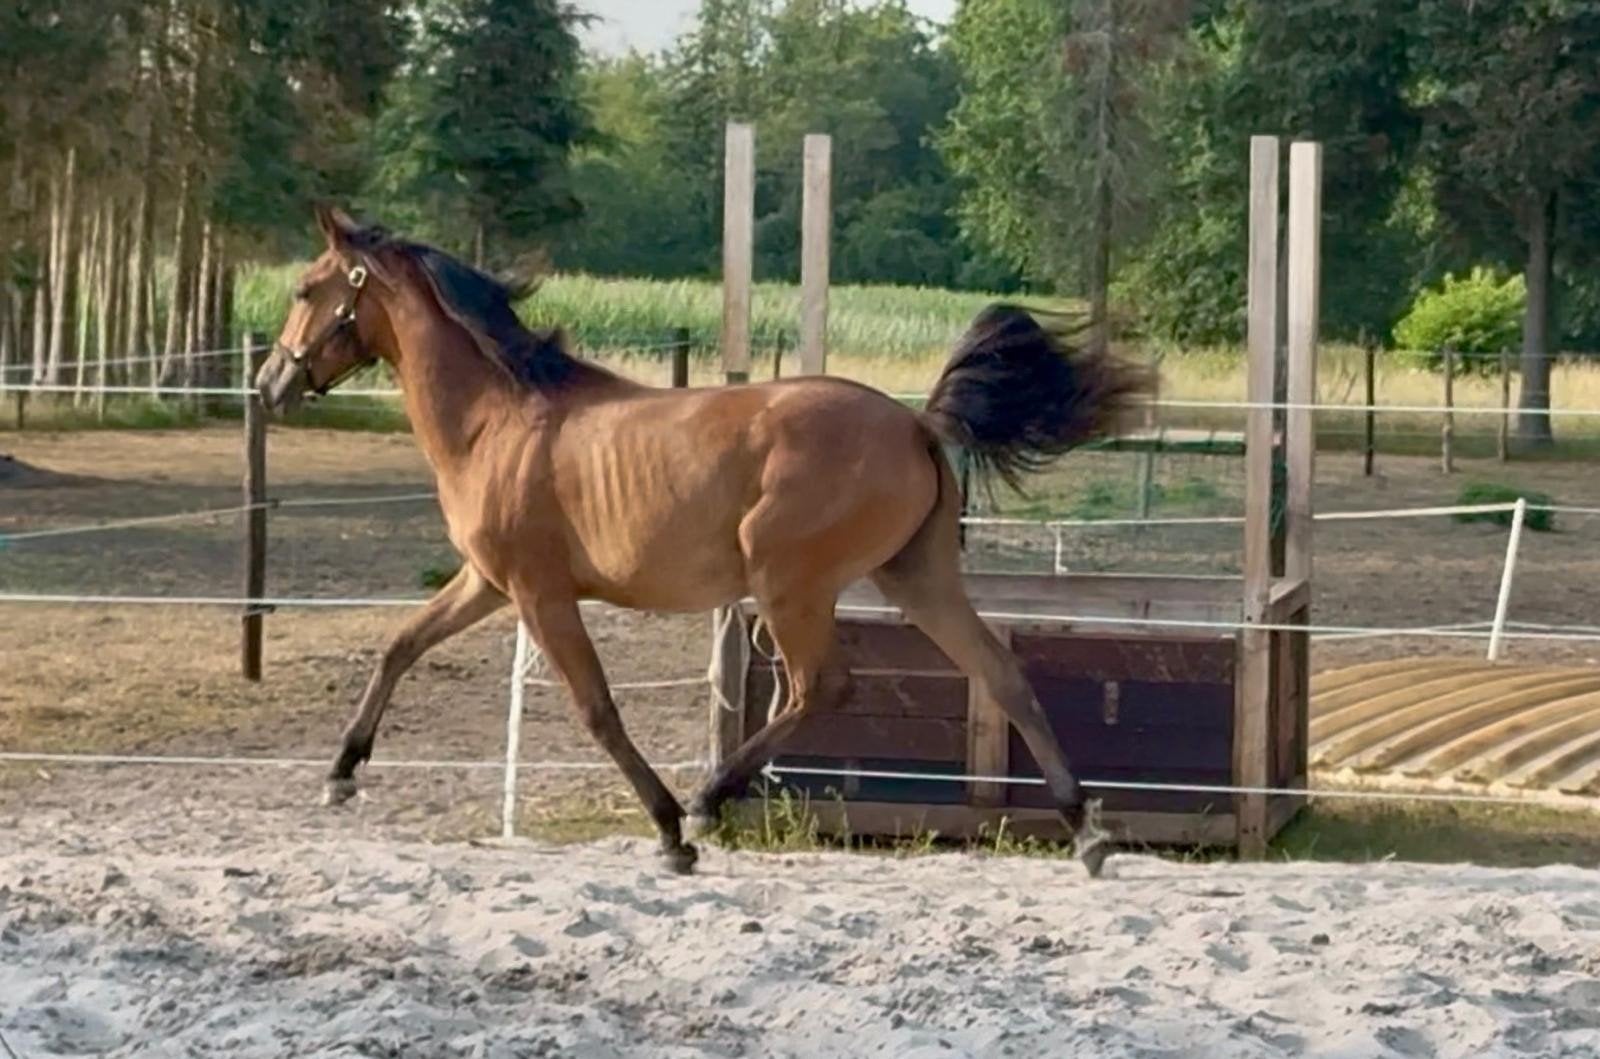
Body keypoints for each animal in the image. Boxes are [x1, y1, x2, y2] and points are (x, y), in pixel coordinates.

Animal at [256, 206, 1148, 877]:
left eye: (305, 288)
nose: (269, 385)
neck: (496, 418)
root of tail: (916, 425)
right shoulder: (486, 581)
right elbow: (400, 646)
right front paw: (340, 775)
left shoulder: (540, 593)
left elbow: (597, 707)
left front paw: (667, 831)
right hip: (913, 577)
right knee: (1001, 673)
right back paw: (1088, 831)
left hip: (790, 583)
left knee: (820, 686)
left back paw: (708, 800)